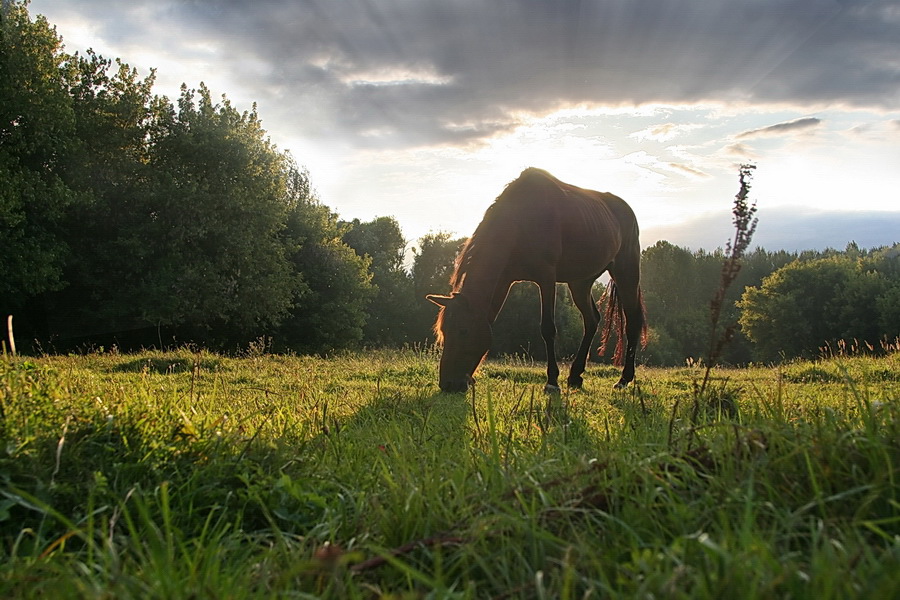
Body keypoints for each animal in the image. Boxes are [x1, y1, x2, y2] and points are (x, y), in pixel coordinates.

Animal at [428, 169, 648, 394]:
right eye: (444, 331)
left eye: (463, 331)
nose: (448, 384)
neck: (521, 222)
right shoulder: (504, 279)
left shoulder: (546, 277)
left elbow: (548, 329)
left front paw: (552, 381)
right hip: (580, 282)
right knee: (592, 320)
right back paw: (575, 375)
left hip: (626, 272)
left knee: (632, 322)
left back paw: (624, 379)